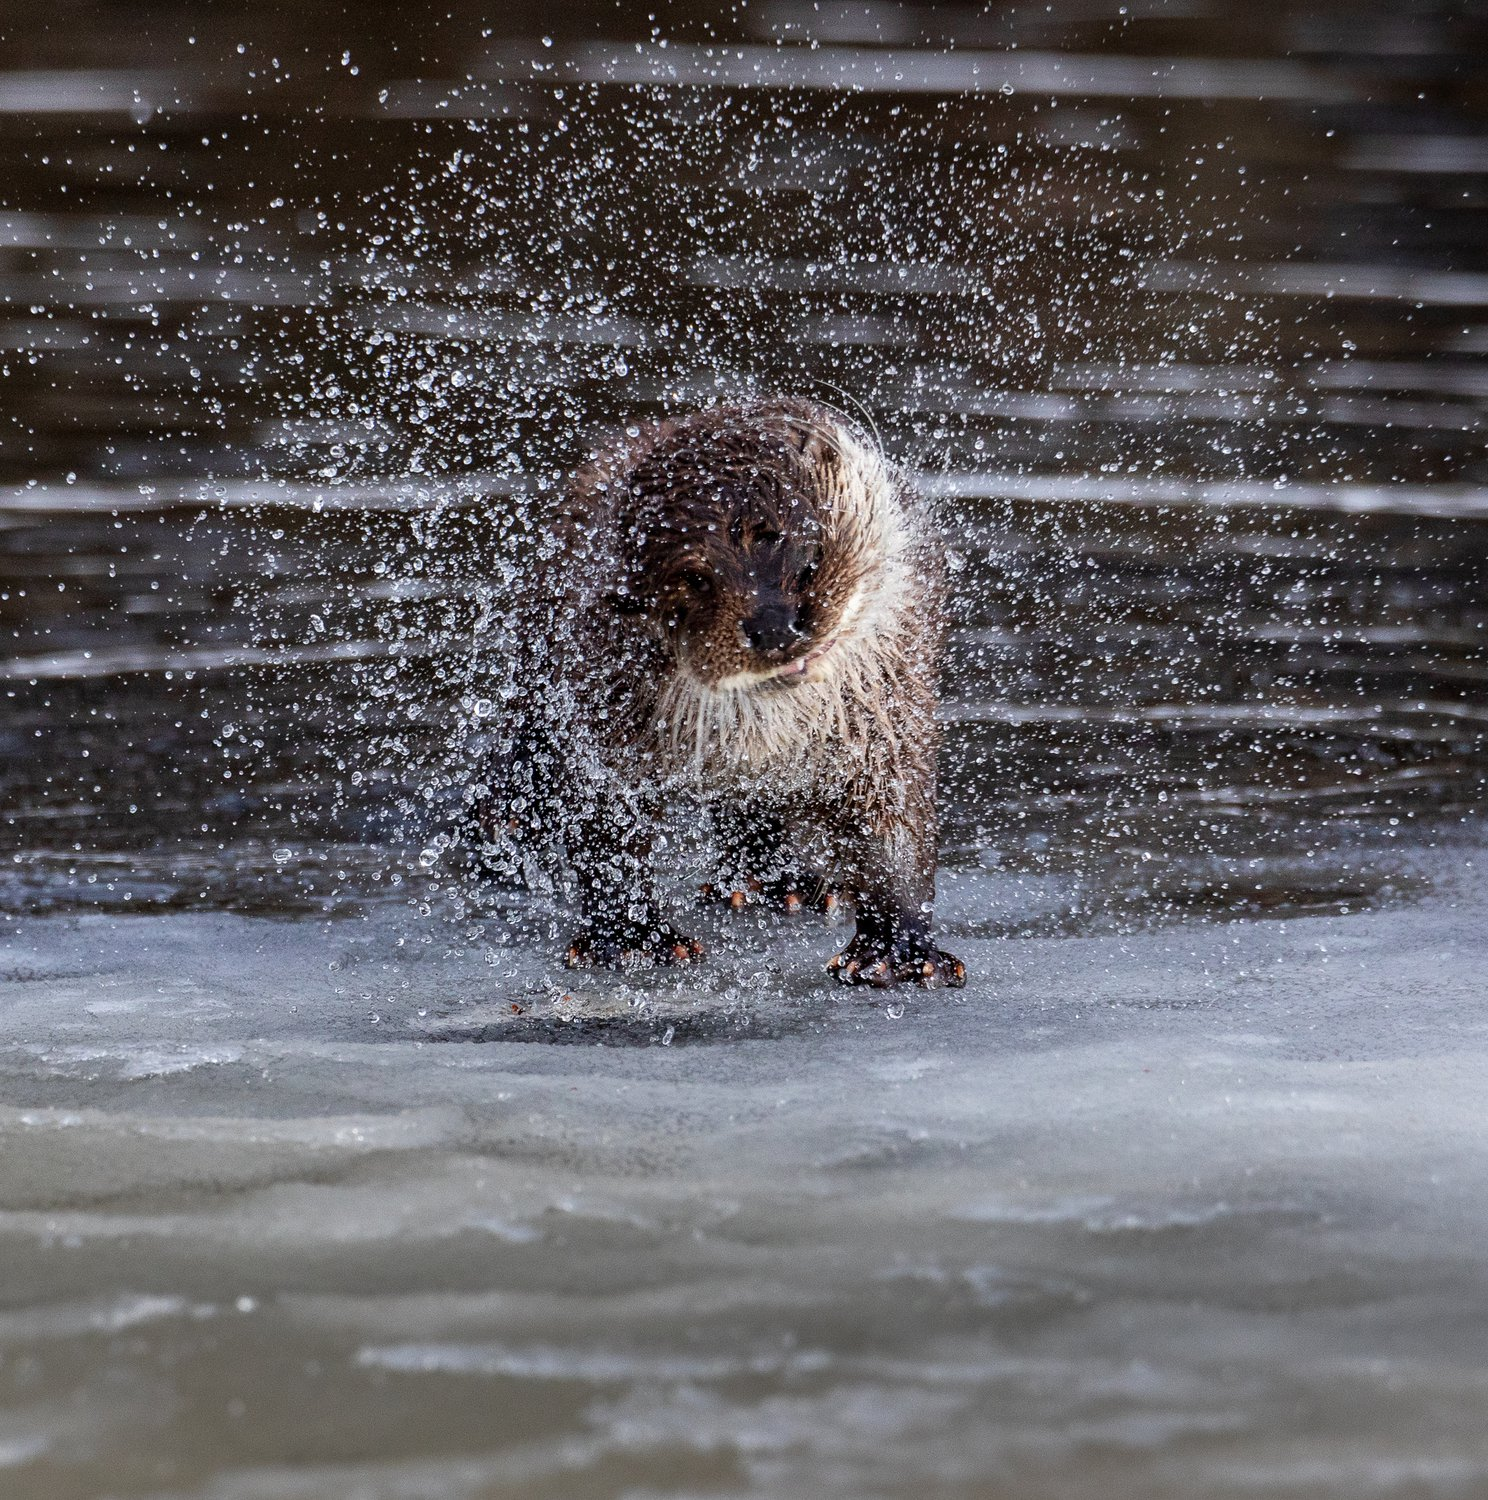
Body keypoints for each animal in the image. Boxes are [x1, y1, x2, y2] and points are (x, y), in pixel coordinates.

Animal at [477, 393, 966, 990]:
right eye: (697, 579)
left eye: (806, 556)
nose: (774, 625)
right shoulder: (600, 701)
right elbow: (606, 826)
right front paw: (634, 938)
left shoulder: (886, 707)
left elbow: (891, 824)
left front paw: (899, 951)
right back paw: (505, 826)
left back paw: (780, 884)